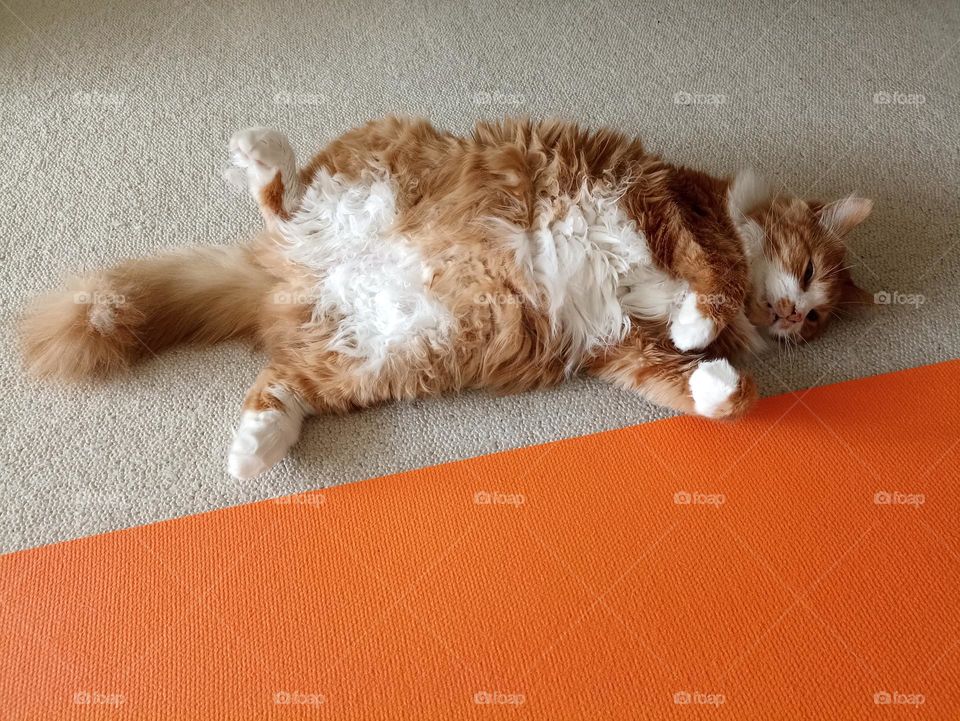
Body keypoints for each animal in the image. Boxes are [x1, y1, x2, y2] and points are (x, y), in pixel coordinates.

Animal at [18, 116, 872, 478]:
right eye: (805, 274)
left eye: (815, 318)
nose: (790, 318)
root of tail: (282, 280)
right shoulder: (665, 203)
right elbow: (709, 281)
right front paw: (706, 319)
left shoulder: (622, 347)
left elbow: (696, 388)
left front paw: (723, 378)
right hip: (363, 187)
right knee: (281, 196)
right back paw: (262, 148)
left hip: (370, 357)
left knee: (281, 385)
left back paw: (253, 450)